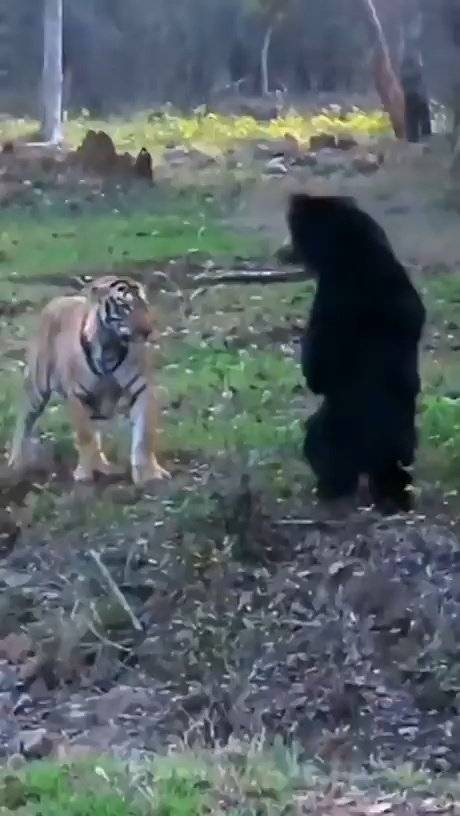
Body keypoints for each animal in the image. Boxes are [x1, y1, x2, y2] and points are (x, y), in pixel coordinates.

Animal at [286, 192, 426, 512]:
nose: (286, 250)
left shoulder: (328, 297)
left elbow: (317, 372)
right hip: (403, 449)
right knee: (395, 475)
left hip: (332, 435)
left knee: (323, 452)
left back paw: (329, 490)